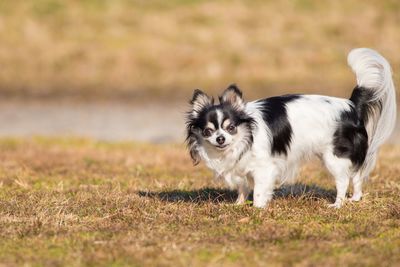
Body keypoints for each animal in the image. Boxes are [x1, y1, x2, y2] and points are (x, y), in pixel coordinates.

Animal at [185, 48, 396, 209]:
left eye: (231, 128)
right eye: (208, 131)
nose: (220, 138)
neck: (244, 138)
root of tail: (350, 105)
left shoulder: (264, 168)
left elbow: (259, 190)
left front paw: (257, 209)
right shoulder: (239, 167)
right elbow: (243, 187)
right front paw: (238, 204)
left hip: (334, 157)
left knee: (343, 180)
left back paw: (338, 204)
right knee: (358, 175)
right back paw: (355, 198)